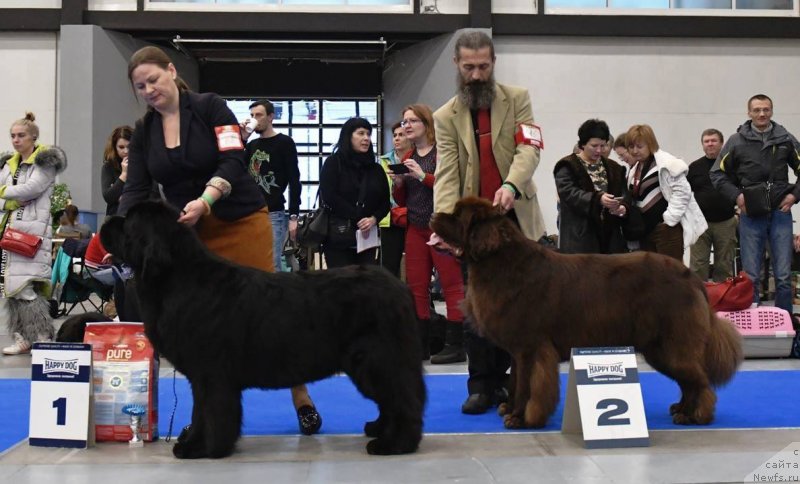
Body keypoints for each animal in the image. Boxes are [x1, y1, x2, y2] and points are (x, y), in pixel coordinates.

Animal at [101, 202, 424, 460]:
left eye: (127, 222)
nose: (107, 221)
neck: (176, 277)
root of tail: (399, 287)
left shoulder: (210, 373)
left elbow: (210, 411)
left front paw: (202, 449)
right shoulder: (204, 375)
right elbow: (202, 412)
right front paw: (198, 443)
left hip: (376, 359)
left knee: (404, 398)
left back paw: (395, 443)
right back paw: (379, 429)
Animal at [432, 198, 744, 432]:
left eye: (458, 216)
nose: (434, 215)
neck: (499, 261)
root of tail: (692, 277)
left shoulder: (530, 347)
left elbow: (527, 385)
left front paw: (520, 417)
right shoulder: (518, 351)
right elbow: (515, 380)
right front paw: (510, 409)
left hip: (672, 343)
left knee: (699, 379)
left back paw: (695, 415)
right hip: (660, 347)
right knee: (689, 379)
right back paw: (682, 408)